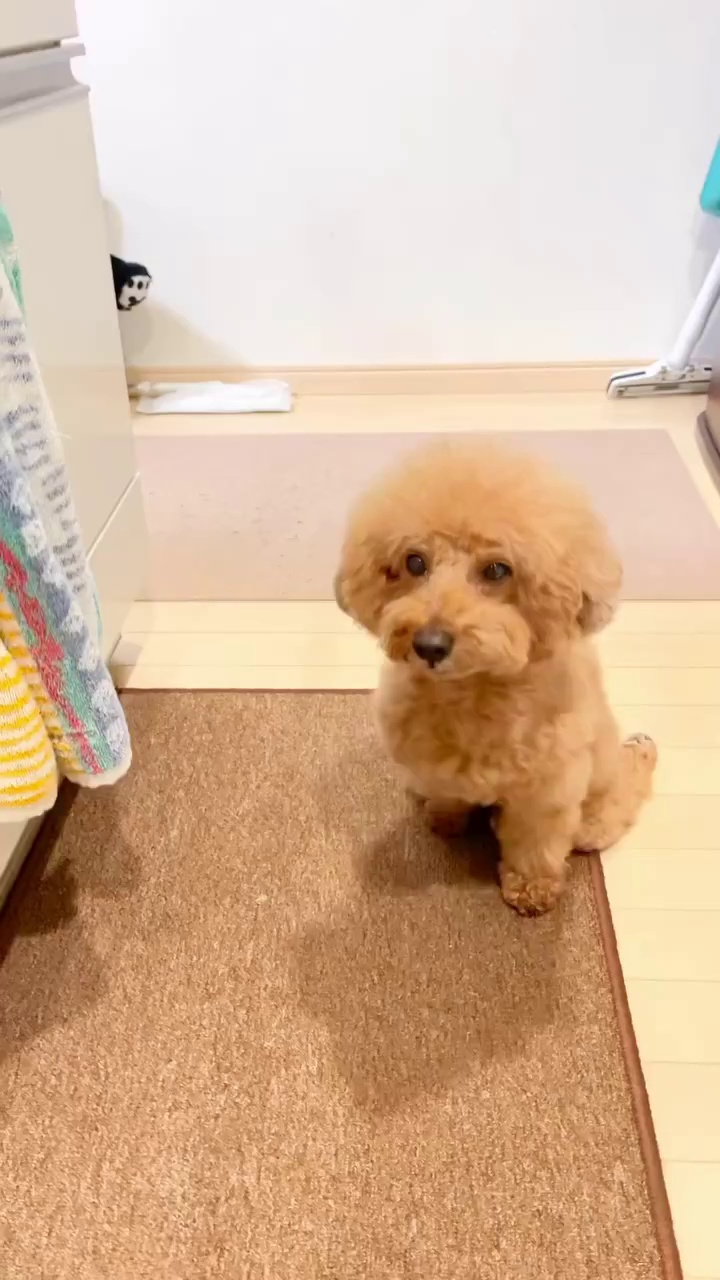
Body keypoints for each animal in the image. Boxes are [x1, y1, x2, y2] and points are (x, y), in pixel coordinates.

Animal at [334, 441, 657, 915]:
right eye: (414, 562)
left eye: (497, 570)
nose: (429, 644)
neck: (471, 694)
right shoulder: (430, 763)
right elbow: (445, 794)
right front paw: (445, 818)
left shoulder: (545, 792)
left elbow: (534, 842)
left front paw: (531, 890)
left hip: (598, 803)